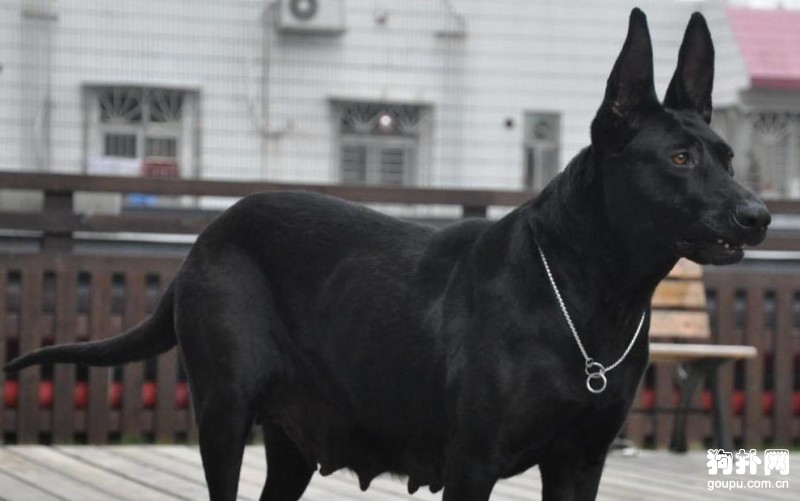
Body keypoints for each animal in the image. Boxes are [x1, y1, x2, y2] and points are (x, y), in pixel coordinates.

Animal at [4, 8, 768, 500]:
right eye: (678, 158)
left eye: (729, 156)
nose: (758, 214)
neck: (590, 297)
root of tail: (208, 236)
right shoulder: (472, 462)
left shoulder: (579, 464)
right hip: (224, 413)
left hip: (291, 444)